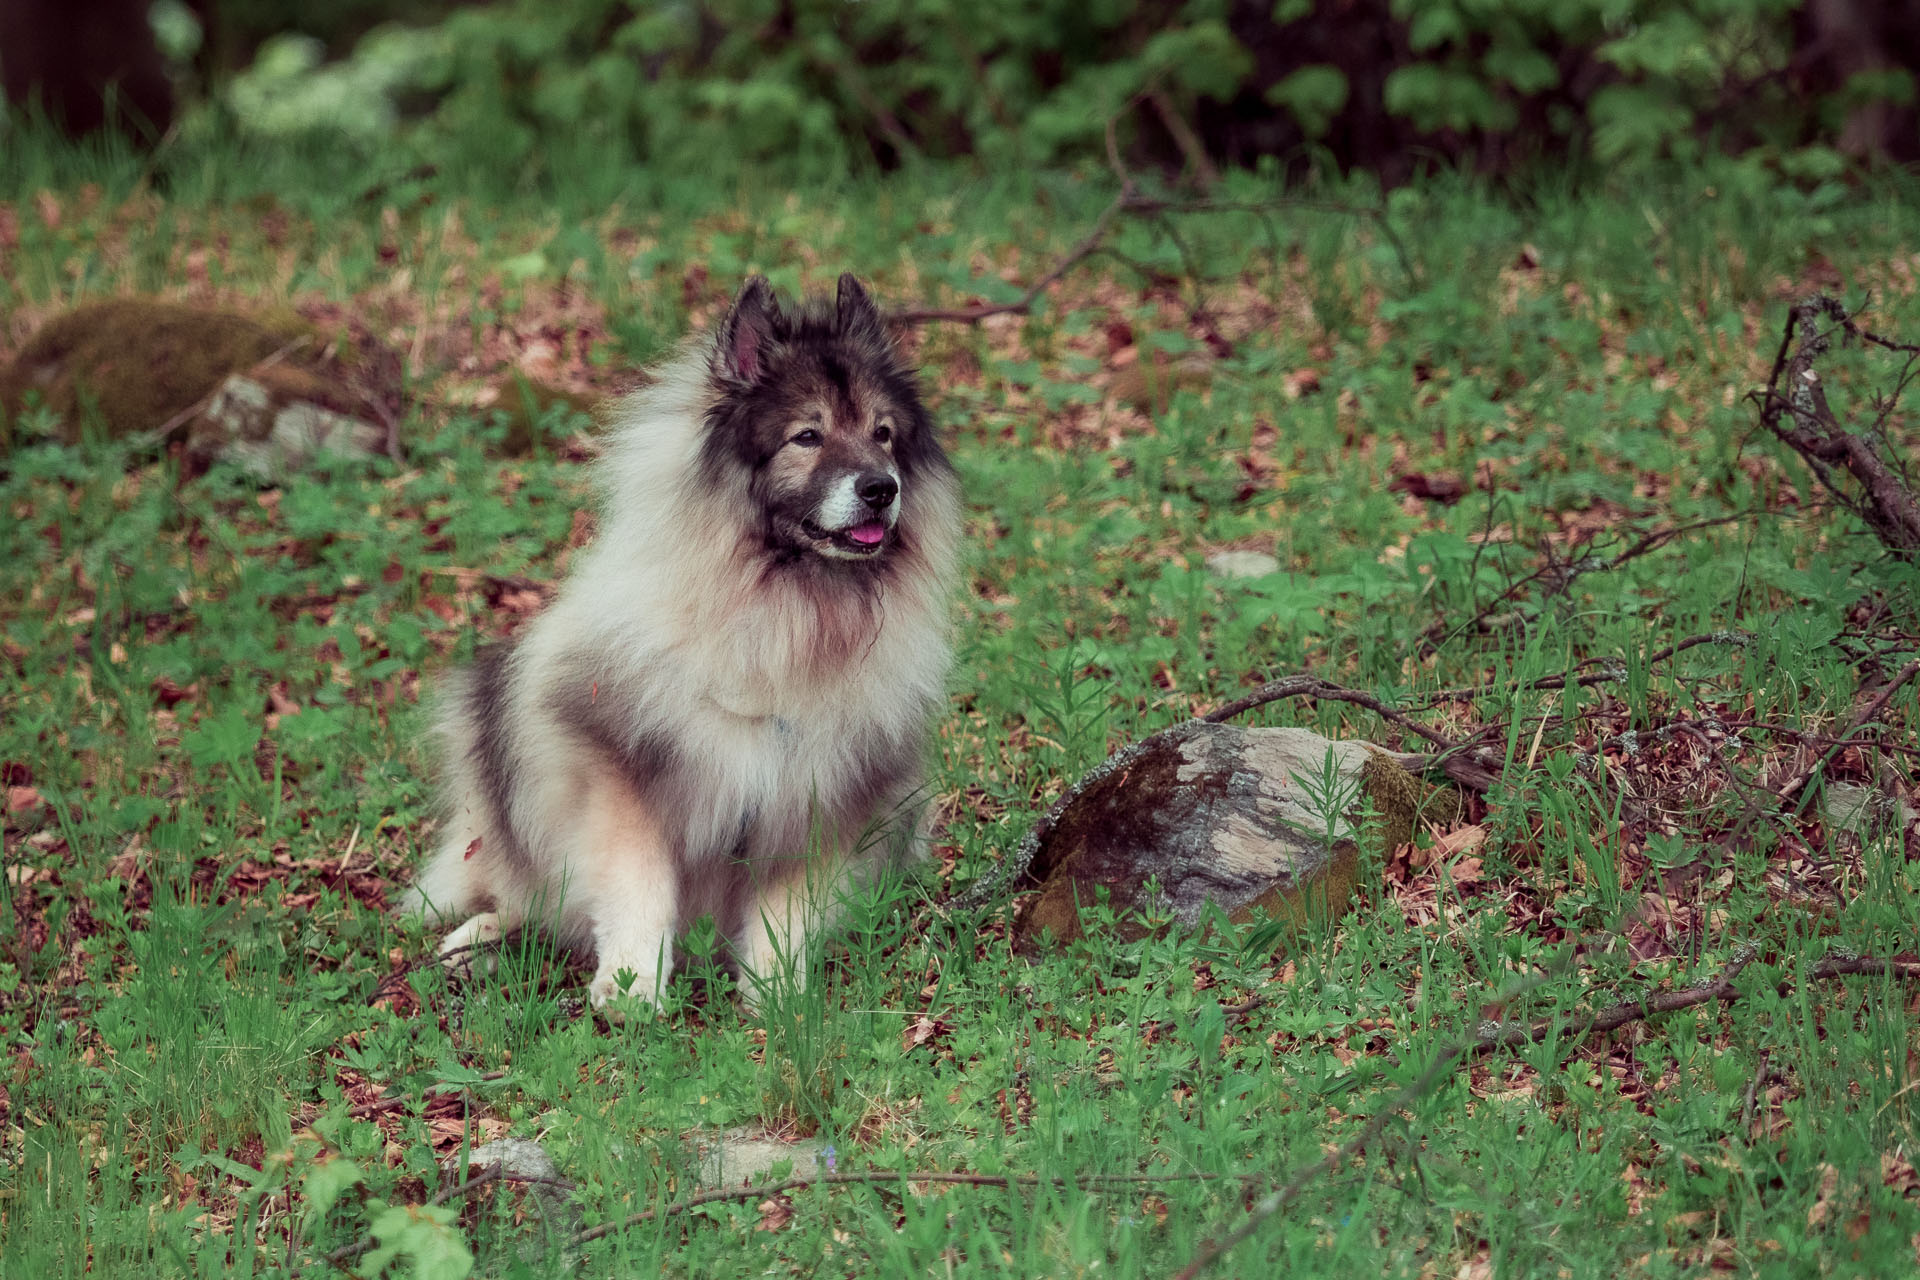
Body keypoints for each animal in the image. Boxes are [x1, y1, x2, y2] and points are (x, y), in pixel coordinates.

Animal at [412, 278, 967, 1013]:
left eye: (883, 434)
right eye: (807, 436)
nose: (882, 488)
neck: (784, 612)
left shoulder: (816, 803)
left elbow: (785, 916)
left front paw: (778, 1000)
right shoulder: (624, 777)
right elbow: (638, 889)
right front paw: (631, 989)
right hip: (494, 722)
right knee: (523, 893)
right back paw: (478, 942)